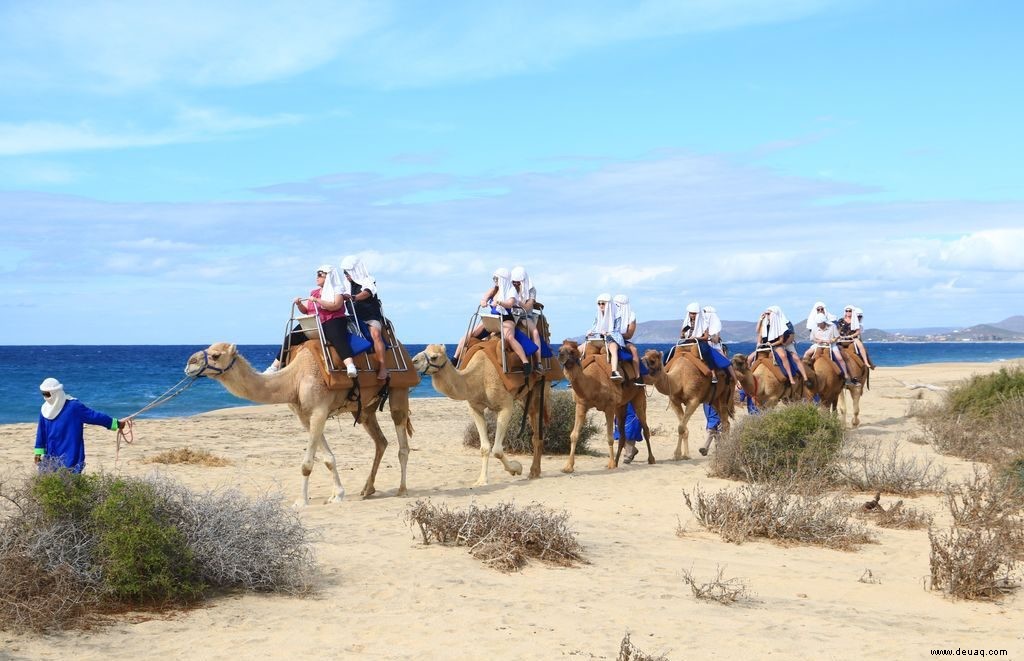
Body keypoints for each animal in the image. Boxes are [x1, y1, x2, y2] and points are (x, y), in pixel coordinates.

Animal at [184, 341, 411, 507]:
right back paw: (367, 490)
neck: (294, 379)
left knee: (402, 443)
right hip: (364, 409)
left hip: (399, 390)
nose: (190, 363)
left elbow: (307, 464)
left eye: (216, 355)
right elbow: (328, 458)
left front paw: (301, 501)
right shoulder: (305, 416)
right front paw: (336, 495)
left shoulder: (319, 411)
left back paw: (402, 490)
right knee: (380, 441)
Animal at [411, 347, 548, 487]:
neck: (479, 376)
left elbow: (497, 450)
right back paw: (535, 471)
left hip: (539, 387)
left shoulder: (506, 406)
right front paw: (482, 480)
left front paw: (517, 468)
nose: (413, 361)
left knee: (536, 425)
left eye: (434, 357)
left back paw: (534, 472)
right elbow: (485, 448)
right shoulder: (475, 408)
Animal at [557, 341, 651, 470]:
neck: (593, 383)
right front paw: (568, 467)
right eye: (559, 349)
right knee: (622, 433)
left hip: (639, 396)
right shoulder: (581, 404)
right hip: (620, 406)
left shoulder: (609, 407)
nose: (561, 356)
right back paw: (617, 462)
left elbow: (610, 437)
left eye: (572, 351)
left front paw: (610, 464)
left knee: (645, 427)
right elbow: (574, 435)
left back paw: (651, 459)